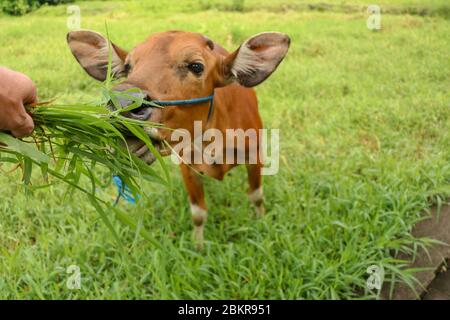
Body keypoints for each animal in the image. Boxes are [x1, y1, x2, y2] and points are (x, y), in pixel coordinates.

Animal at [68, 29, 290, 250]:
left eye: (196, 66)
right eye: (128, 67)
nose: (122, 103)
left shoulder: (255, 156)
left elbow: (256, 196)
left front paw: (260, 221)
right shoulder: (188, 167)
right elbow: (198, 213)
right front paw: (198, 245)